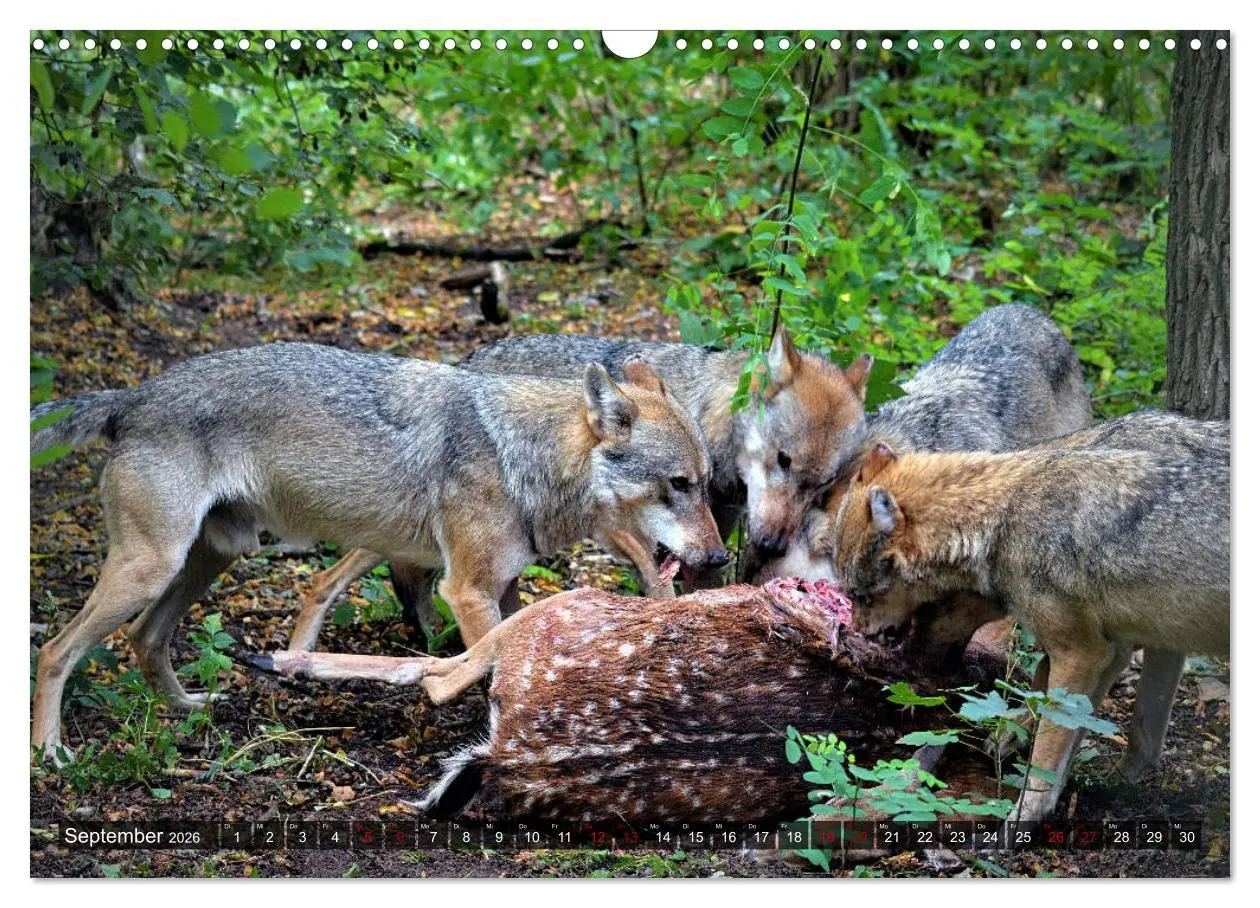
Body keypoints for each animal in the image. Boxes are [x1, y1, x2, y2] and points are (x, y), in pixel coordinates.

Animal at [29, 343, 726, 761]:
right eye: (679, 485)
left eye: (706, 482)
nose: (720, 562)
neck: (524, 457)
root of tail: (133, 395)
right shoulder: (465, 590)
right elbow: (490, 662)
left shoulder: (502, 590)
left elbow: (514, 659)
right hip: (153, 568)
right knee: (55, 650)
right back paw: (48, 753)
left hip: (208, 559)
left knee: (144, 638)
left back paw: (187, 710)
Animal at [293, 325, 873, 651]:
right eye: (781, 461)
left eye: (823, 485)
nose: (772, 544)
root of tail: (472, 359)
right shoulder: (637, 537)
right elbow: (662, 589)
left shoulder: (707, 541)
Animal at [831, 410, 1230, 821]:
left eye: (860, 596)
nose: (856, 632)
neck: (1002, 518)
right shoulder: (1136, 643)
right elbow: (1125, 730)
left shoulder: (1087, 652)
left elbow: (1050, 741)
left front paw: (1025, 812)